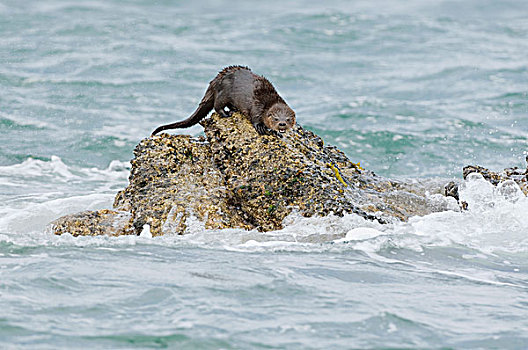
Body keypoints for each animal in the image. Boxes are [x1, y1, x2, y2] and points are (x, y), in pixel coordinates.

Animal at [151, 65, 294, 137]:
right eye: (275, 118)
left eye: (288, 119)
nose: (282, 124)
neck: (268, 101)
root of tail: (215, 80)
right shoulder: (257, 105)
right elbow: (255, 117)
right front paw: (261, 127)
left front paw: (277, 133)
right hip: (224, 92)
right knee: (217, 105)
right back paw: (226, 113)